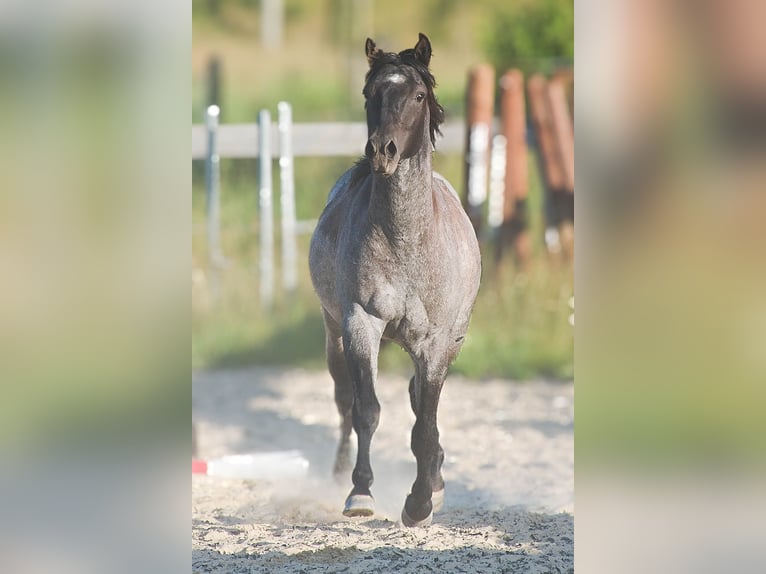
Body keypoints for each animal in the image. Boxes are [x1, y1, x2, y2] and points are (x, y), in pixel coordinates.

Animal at [310, 33, 480, 528]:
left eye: (419, 95)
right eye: (371, 93)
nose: (381, 152)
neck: (406, 239)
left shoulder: (438, 341)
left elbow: (425, 422)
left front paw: (420, 502)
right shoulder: (360, 323)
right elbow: (366, 410)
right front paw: (360, 493)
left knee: (419, 400)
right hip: (334, 333)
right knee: (345, 399)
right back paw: (340, 473)